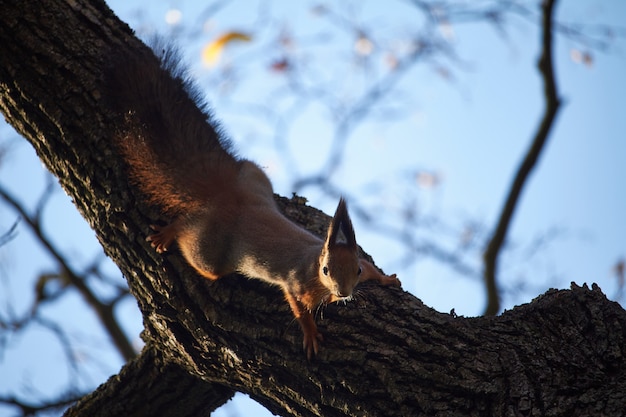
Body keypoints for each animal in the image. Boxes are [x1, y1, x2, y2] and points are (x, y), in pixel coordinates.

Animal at [107, 44, 398, 360]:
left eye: (356, 270)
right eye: (326, 270)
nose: (344, 292)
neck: (314, 262)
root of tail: (225, 197)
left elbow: (369, 273)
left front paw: (386, 280)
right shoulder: (295, 283)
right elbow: (298, 306)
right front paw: (310, 332)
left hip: (254, 176)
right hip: (208, 255)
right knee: (189, 235)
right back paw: (170, 233)